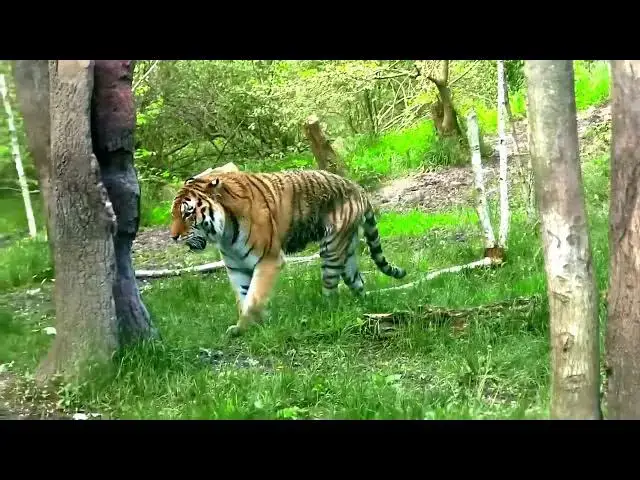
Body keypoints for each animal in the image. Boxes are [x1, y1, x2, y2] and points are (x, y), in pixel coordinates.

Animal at [170, 163, 407, 336]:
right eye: (173, 213)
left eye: (188, 212)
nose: (173, 237)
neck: (224, 234)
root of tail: (358, 188)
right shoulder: (236, 267)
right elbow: (244, 296)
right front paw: (246, 327)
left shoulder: (268, 260)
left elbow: (254, 298)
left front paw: (248, 325)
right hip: (347, 251)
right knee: (358, 281)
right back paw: (367, 309)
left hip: (331, 249)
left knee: (331, 288)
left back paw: (326, 312)